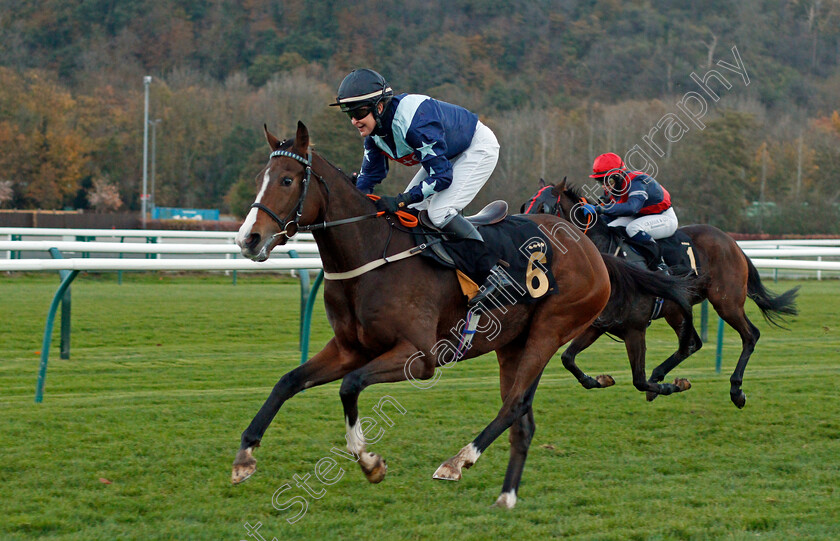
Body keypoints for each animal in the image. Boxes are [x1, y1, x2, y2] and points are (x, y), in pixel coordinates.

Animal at [233, 121, 612, 506]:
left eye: (287, 180)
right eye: (260, 178)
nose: (248, 239)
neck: (371, 255)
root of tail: (586, 245)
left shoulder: (419, 356)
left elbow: (350, 385)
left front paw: (368, 460)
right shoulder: (348, 349)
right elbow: (288, 381)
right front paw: (245, 456)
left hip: (550, 329)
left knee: (515, 404)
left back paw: (457, 461)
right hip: (512, 344)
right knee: (521, 419)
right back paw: (506, 497)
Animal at [520, 179, 796, 408]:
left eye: (543, 207)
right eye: (525, 204)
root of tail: (732, 242)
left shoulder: (635, 327)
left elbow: (638, 380)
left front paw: (670, 386)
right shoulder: (600, 324)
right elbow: (567, 358)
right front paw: (600, 379)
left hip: (726, 302)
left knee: (750, 335)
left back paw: (736, 390)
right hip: (677, 310)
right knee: (691, 344)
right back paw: (661, 375)